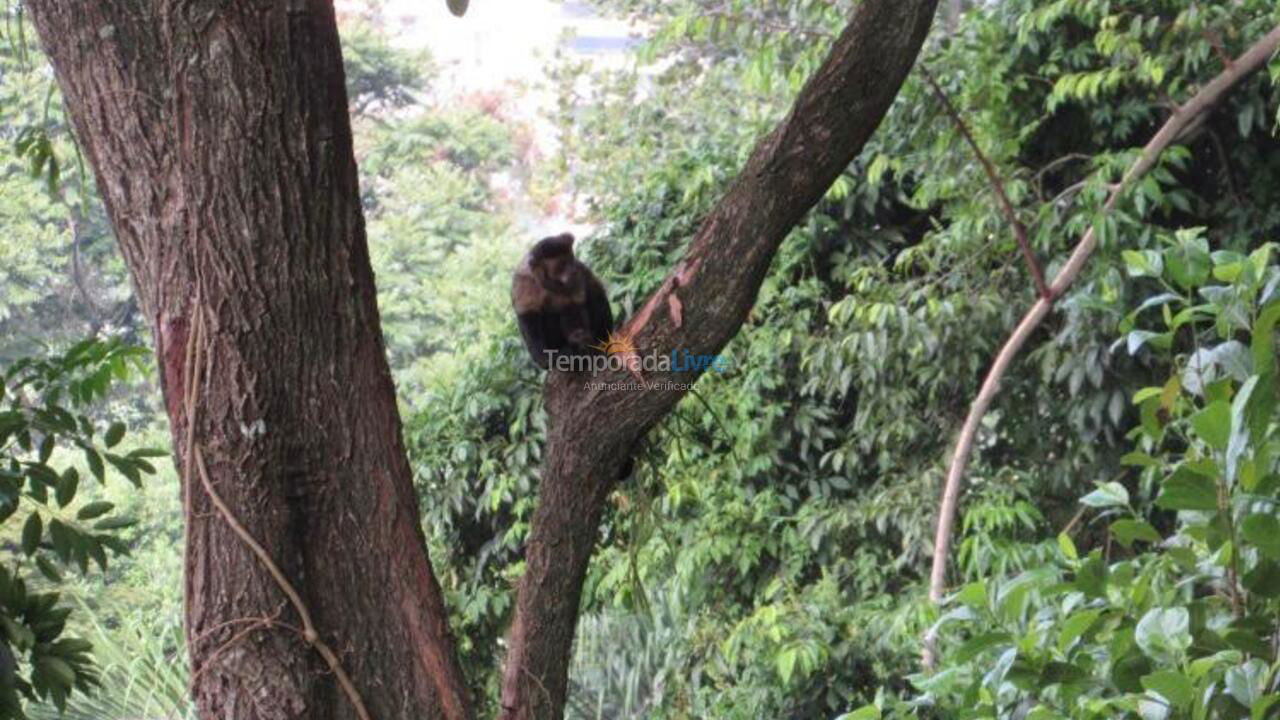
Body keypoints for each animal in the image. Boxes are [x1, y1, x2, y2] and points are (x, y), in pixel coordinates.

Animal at [506, 233, 611, 368]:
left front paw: (587, 339)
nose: (573, 270)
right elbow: (528, 317)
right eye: (562, 264)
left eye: (571, 259)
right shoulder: (523, 282)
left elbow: (580, 301)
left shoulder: (578, 271)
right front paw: (544, 358)